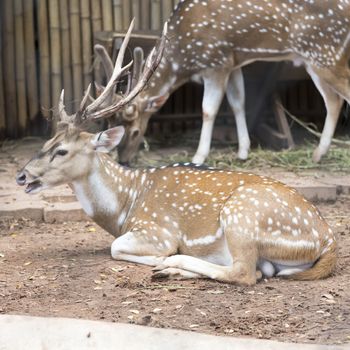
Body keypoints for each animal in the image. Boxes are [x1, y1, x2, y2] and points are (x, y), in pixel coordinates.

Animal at [15, 20, 336, 286]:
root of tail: (328, 241)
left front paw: (162, 258)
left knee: (245, 272)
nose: (21, 176)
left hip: (242, 215)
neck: (123, 209)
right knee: (260, 270)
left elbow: (116, 247)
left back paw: (172, 264)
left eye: (61, 150)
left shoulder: (156, 230)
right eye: (46, 142)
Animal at [108, 0, 348, 165]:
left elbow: (208, 109)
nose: (123, 159)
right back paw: (318, 154)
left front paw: (198, 156)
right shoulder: (233, 64)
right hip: (314, 59)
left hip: (325, 53)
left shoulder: (216, 63)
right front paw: (243, 151)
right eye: (115, 125)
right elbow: (238, 103)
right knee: (333, 101)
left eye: (136, 131)